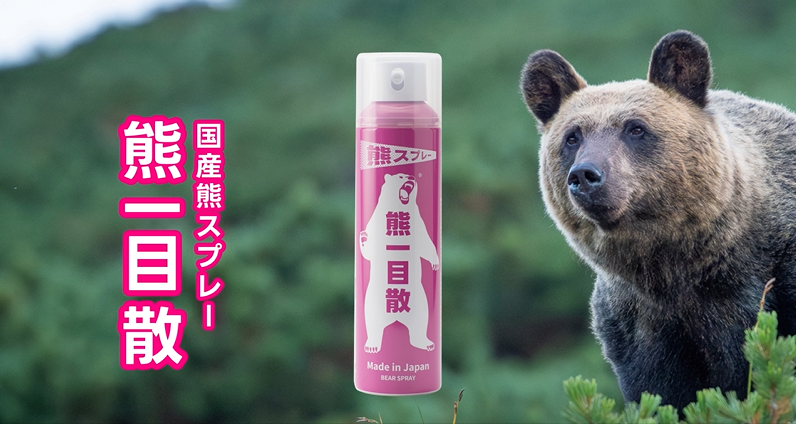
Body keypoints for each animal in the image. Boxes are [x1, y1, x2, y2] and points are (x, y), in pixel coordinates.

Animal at [360, 173, 439, 353]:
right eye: (401, 176)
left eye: (409, 176)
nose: (411, 177)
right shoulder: (375, 219)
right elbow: (370, 250)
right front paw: (364, 237)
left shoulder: (419, 221)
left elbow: (426, 243)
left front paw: (435, 263)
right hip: (372, 304)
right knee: (372, 324)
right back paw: (372, 346)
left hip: (421, 304)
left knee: (421, 323)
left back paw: (426, 343)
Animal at [520, 30, 796, 409]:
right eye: (572, 136)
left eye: (635, 128)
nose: (585, 175)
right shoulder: (640, 323)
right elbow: (660, 392)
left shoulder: (771, 280)